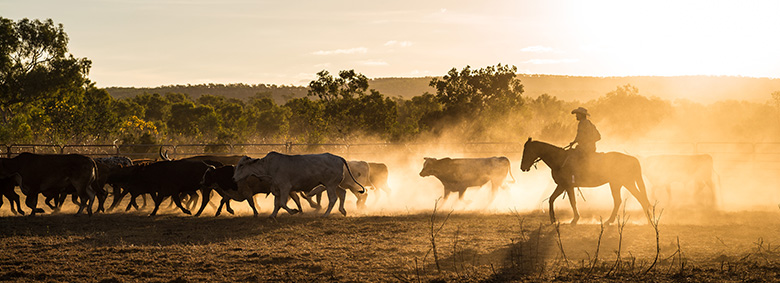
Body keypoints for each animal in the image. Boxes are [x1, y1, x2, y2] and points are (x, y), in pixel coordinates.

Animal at [520, 138, 656, 226]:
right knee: (622, 200)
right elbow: (551, 199)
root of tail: (633, 158)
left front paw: (575, 219)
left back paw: (648, 220)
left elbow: (572, 202)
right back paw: (611, 221)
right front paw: (553, 219)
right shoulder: (562, 185)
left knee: (638, 198)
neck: (560, 159)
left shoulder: (567, 186)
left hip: (625, 183)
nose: (522, 167)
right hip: (618, 184)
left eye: (527, 151)